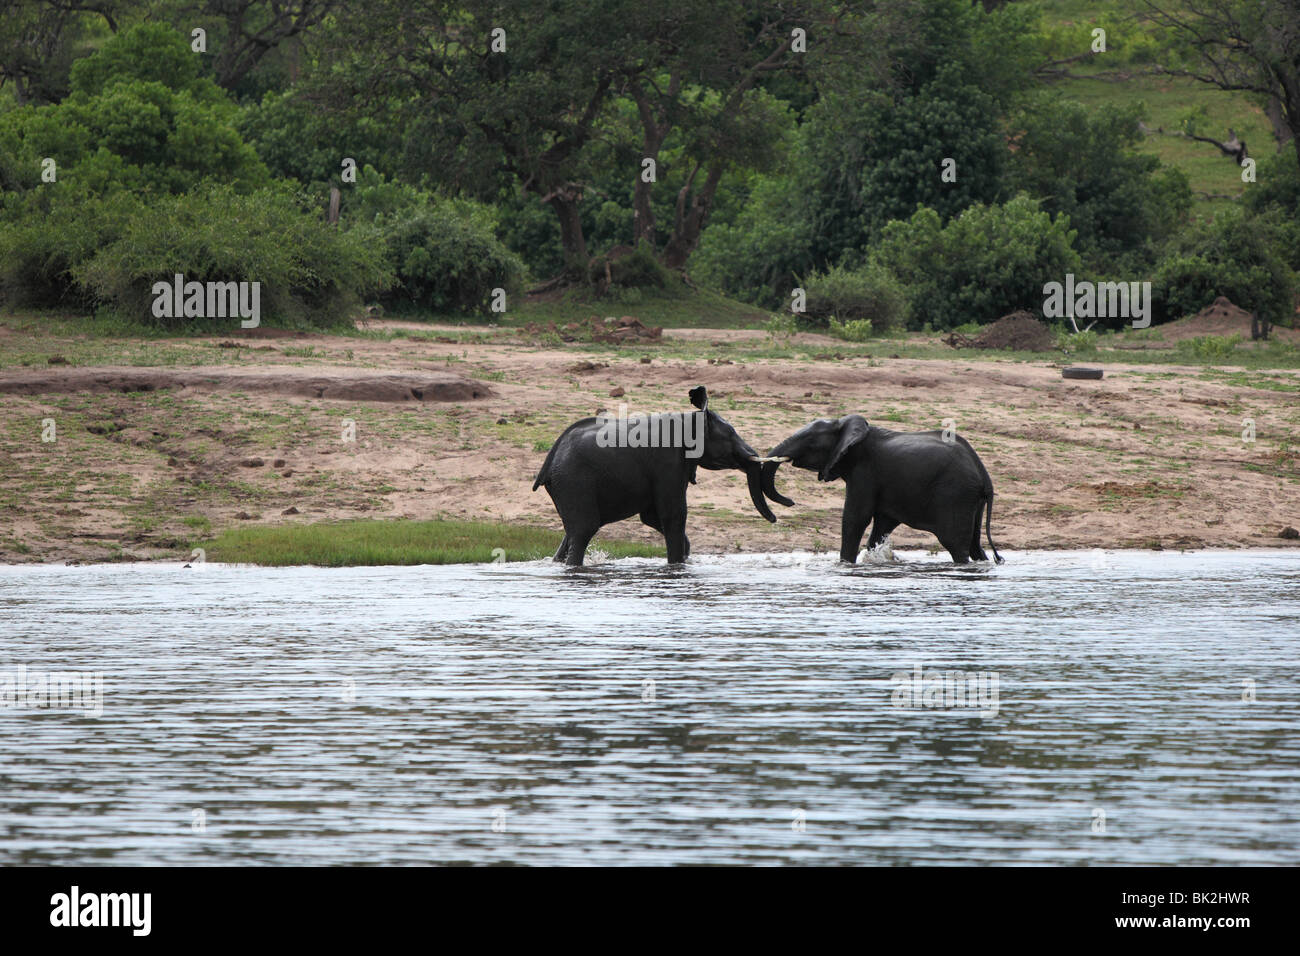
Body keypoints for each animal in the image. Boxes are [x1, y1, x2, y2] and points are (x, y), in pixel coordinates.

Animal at [533, 386, 788, 566]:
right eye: (731, 434)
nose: (775, 519)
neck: (689, 418)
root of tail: (549, 462)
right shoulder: (667, 462)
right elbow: (673, 514)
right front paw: (676, 565)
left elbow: (652, 516)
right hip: (574, 481)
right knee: (584, 530)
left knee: (570, 533)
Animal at [760, 415, 1004, 564]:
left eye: (810, 441)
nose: (789, 502)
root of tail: (985, 477)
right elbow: (881, 526)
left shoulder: (864, 471)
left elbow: (855, 518)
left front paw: (845, 564)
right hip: (971, 500)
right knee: (974, 546)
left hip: (955, 494)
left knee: (956, 545)